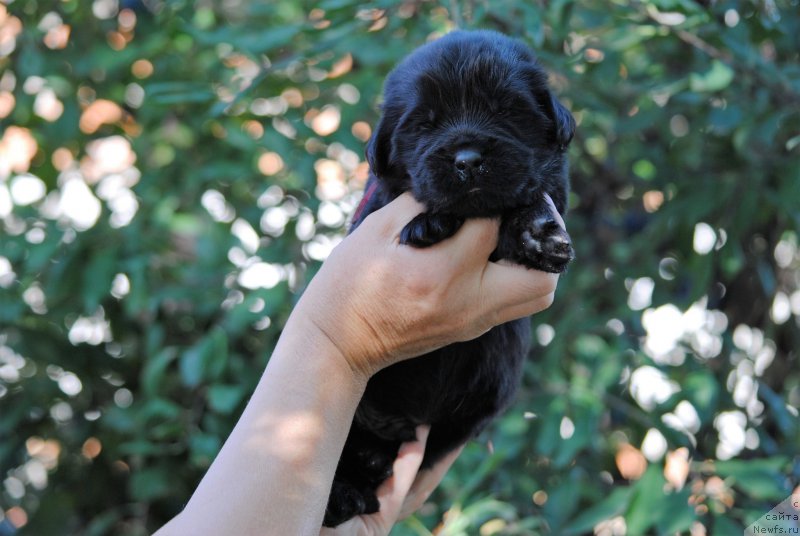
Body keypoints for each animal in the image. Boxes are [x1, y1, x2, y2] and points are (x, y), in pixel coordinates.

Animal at [324, 30, 576, 528]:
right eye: (424, 124)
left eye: (506, 112)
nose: (468, 159)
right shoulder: (373, 211)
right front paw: (428, 222)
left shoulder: (552, 183)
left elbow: (537, 193)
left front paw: (536, 231)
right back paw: (344, 492)